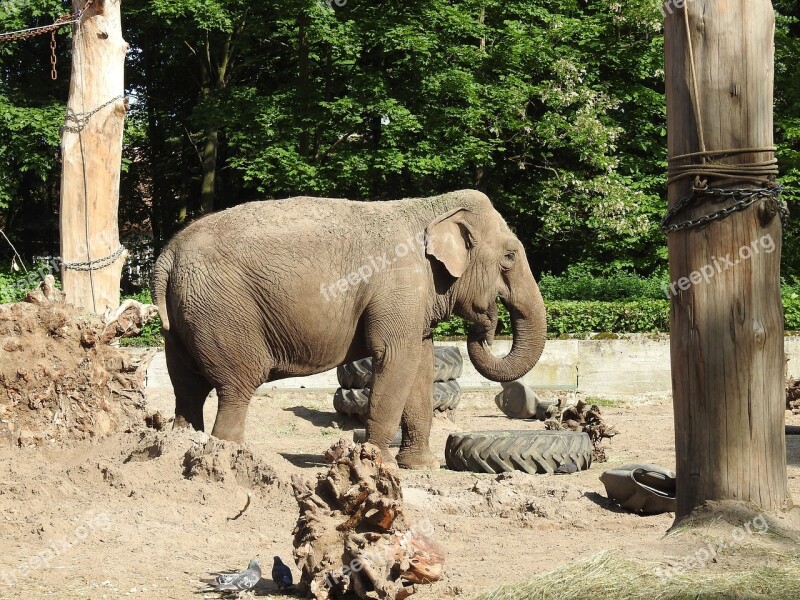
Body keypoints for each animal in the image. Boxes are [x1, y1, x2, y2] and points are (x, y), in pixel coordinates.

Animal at [152, 189, 544, 468]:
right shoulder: (398, 285)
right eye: (509, 257)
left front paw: (420, 466)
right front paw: (378, 464)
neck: (429, 207)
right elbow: (396, 359)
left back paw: (182, 447)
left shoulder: (413, 300)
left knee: (187, 388)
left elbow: (420, 363)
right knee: (235, 386)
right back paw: (229, 456)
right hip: (223, 311)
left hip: (184, 319)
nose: (486, 326)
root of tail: (167, 256)